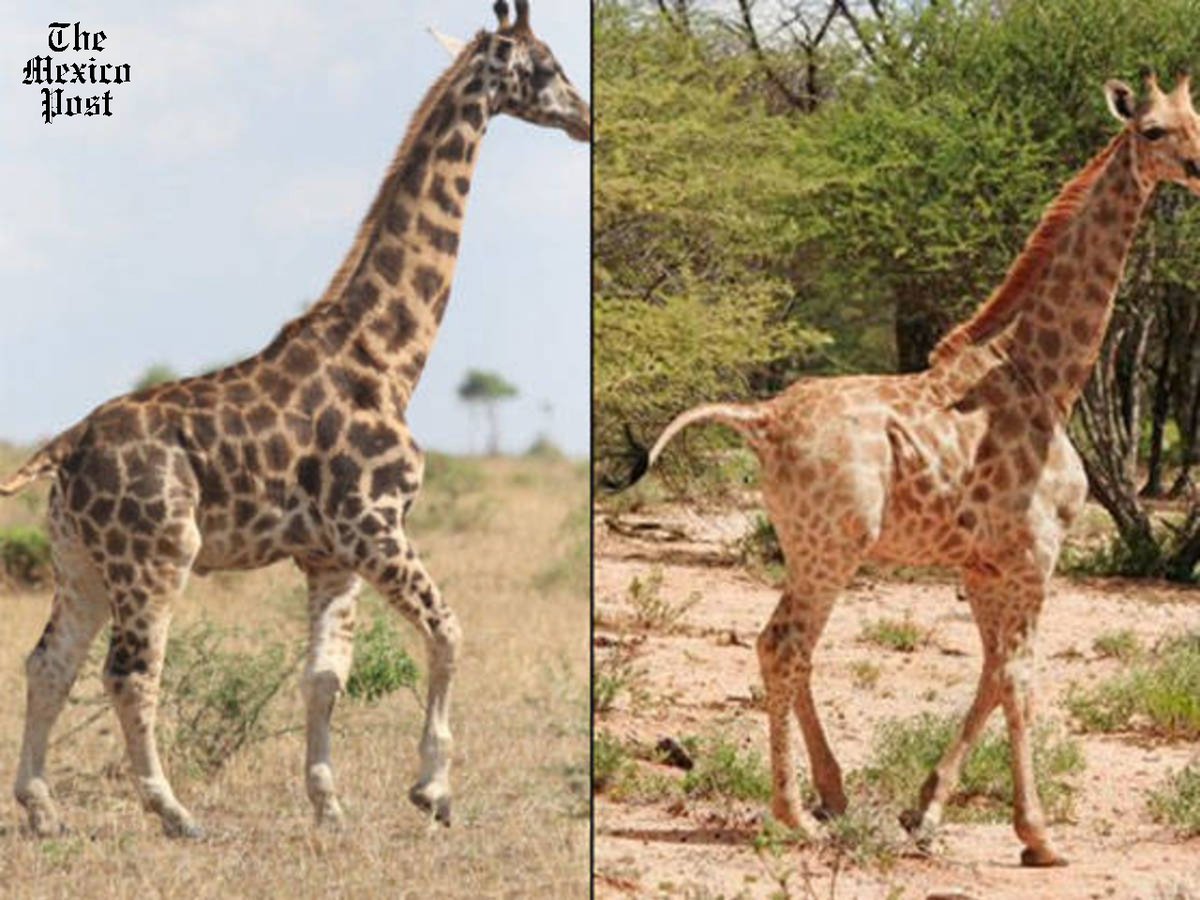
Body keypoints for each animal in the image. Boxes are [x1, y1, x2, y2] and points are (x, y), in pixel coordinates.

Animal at [0, 0, 588, 839]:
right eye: (546, 66)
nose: (585, 118)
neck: (389, 356)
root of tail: (67, 446)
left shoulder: (329, 553)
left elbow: (323, 679)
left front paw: (329, 804)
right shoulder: (375, 525)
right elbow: (448, 631)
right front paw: (432, 790)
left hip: (77, 557)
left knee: (50, 662)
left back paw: (42, 809)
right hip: (158, 553)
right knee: (130, 673)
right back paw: (173, 811)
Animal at [606, 72, 1200, 866]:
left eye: (1197, 119)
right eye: (1153, 130)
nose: (1196, 167)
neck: (1048, 377)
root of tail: (760, 422)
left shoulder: (982, 562)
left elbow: (990, 673)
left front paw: (926, 811)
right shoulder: (1036, 554)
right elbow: (1021, 679)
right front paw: (1038, 837)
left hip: (806, 546)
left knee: (790, 648)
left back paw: (829, 795)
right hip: (833, 547)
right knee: (783, 645)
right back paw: (794, 815)